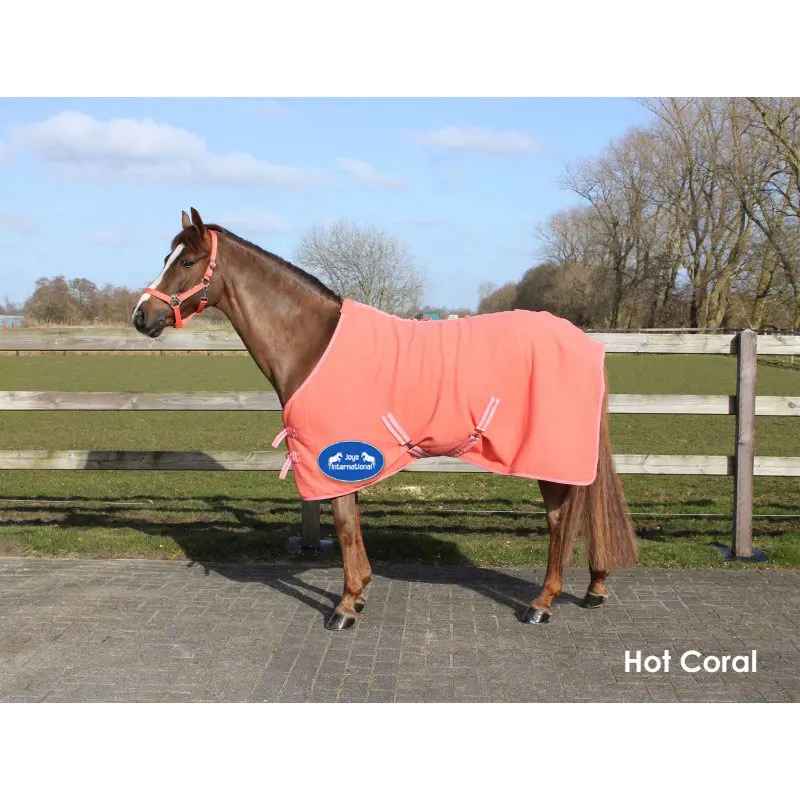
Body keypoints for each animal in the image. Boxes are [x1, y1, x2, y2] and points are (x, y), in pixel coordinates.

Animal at [133, 208, 638, 631]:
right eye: (166, 257)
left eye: (186, 261)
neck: (314, 344)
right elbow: (353, 524)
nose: (141, 316)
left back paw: (542, 603)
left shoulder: (332, 454)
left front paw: (344, 606)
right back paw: (594, 588)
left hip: (549, 458)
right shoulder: (351, 458)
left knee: (560, 521)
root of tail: (586, 343)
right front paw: (359, 594)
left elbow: (342, 525)